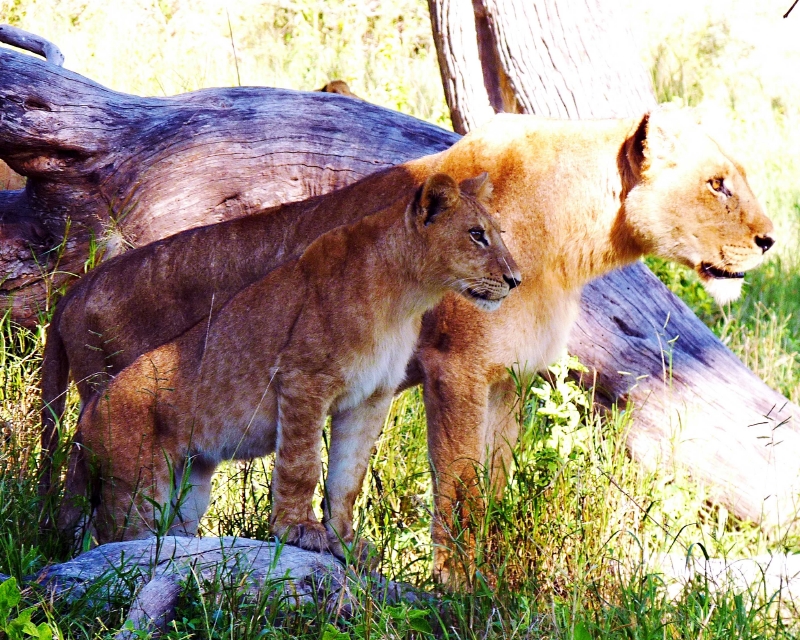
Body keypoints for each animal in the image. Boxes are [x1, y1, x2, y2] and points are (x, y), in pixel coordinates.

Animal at [58, 172, 521, 554]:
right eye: (477, 235)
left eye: (500, 234)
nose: (516, 279)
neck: (406, 298)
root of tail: (89, 412)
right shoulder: (303, 380)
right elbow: (302, 464)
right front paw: (298, 530)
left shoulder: (371, 397)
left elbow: (348, 477)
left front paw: (345, 541)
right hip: (137, 487)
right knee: (113, 538)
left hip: (189, 485)